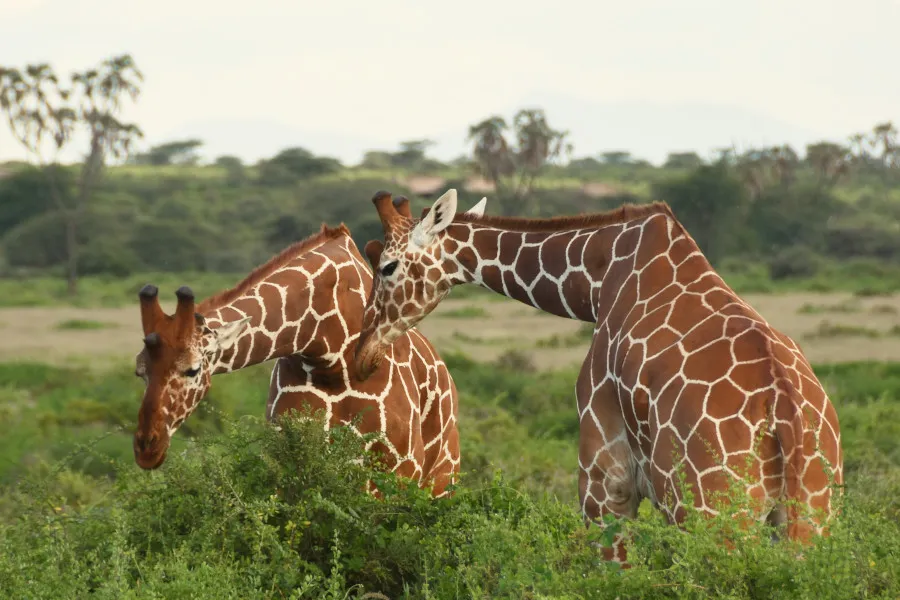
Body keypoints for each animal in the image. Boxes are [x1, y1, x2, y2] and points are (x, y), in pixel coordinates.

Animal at [134, 220, 460, 496]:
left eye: (192, 370)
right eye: (140, 371)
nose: (146, 447)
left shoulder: (400, 466)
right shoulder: (287, 462)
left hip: (441, 479)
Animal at [354, 190, 844, 564]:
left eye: (387, 267)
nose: (363, 355)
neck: (595, 280)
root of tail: (785, 411)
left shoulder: (604, 470)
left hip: (712, 516)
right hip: (813, 517)